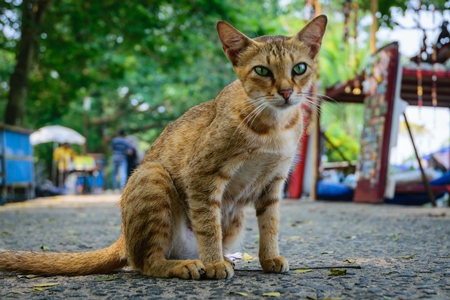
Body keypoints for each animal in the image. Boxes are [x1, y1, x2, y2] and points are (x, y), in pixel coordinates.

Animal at [0, 15, 326, 280]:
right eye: (262, 70)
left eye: (300, 68)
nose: (286, 92)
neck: (273, 128)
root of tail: (123, 237)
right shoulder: (202, 176)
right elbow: (208, 225)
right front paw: (214, 262)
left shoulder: (274, 183)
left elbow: (270, 226)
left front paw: (269, 258)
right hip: (153, 176)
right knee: (146, 262)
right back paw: (192, 265)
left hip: (233, 220)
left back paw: (220, 258)